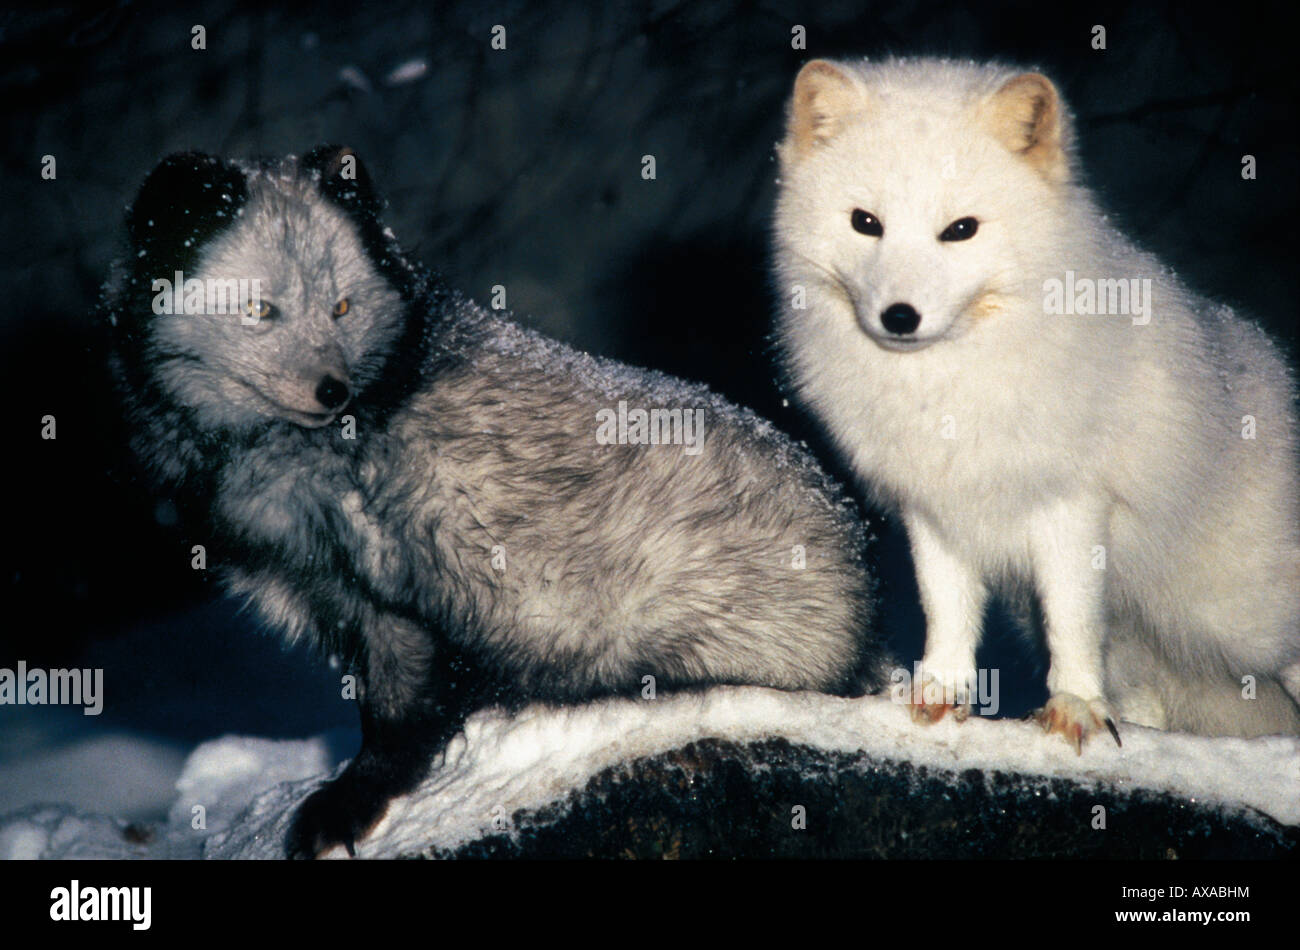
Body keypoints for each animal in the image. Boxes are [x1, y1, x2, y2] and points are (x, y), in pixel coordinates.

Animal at [106, 146, 888, 857]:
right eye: (260, 310)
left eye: (341, 306)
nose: (335, 392)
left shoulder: (398, 595)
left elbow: (397, 717)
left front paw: (348, 803)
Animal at [771, 57, 1300, 749]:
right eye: (866, 222)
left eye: (960, 230)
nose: (899, 318)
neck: (945, 386)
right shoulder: (935, 509)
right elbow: (946, 610)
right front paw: (940, 691)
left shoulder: (1073, 504)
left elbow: (1069, 621)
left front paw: (1073, 705)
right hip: (1148, 641)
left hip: (1242, 616)